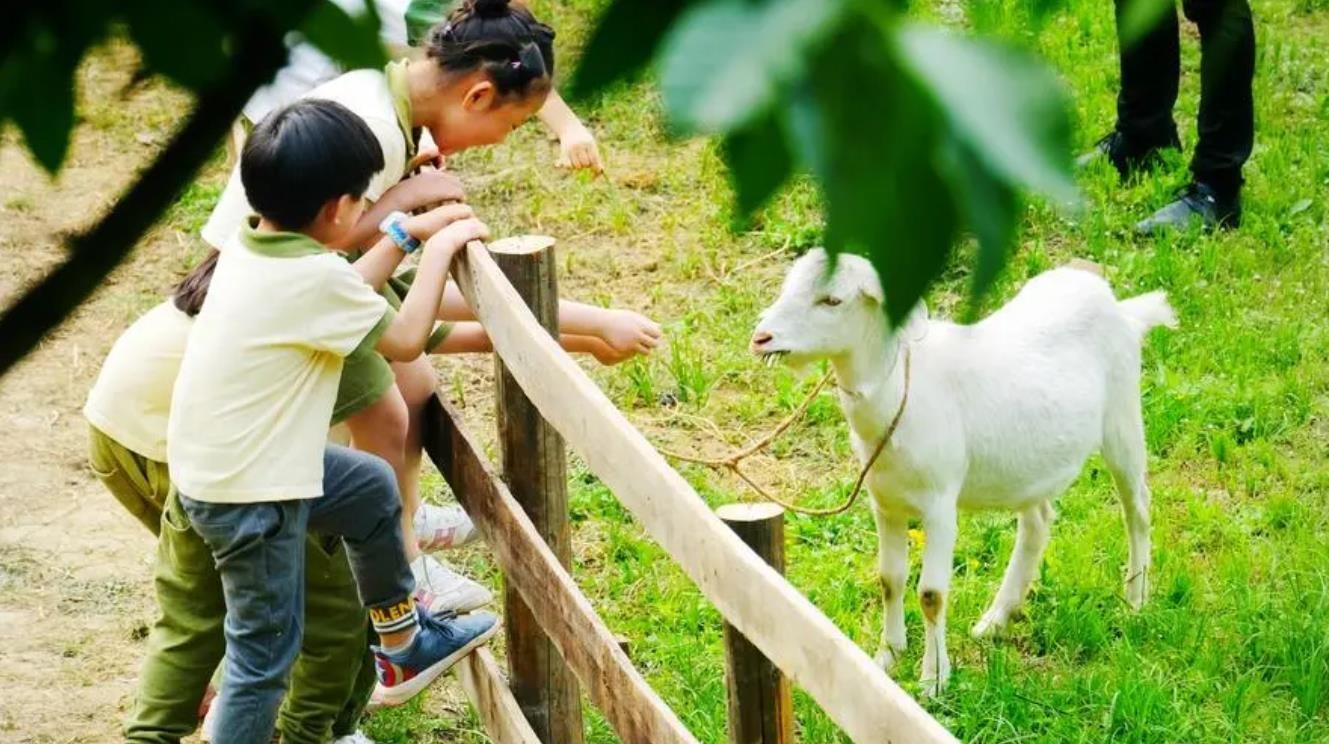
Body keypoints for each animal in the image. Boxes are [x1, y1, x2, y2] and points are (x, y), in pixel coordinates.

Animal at [750, 249, 1176, 694]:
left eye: (832, 301)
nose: (761, 338)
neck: (899, 390)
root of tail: (1122, 309)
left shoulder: (939, 505)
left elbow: (931, 594)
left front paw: (933, 679)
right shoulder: (884, 502)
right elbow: (889, 579)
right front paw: (887, 658)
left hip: (1123, 417)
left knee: (1137, 507)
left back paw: (1135, 601)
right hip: (1029, 463)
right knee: (1038, 521)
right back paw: (996, 619)